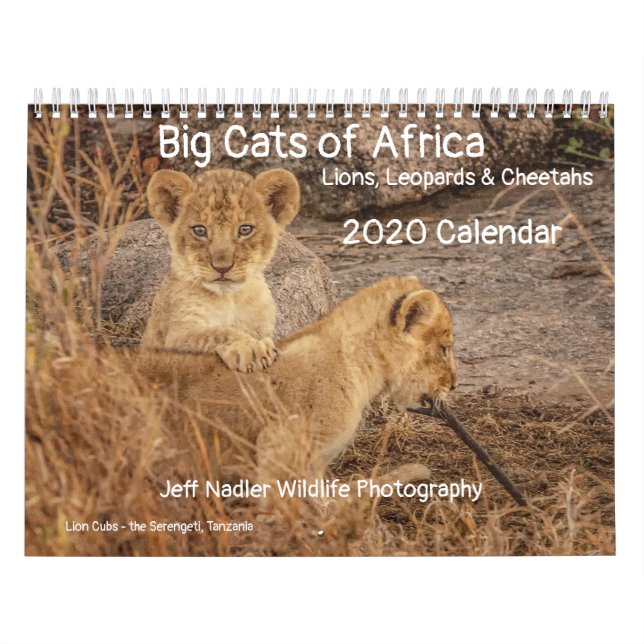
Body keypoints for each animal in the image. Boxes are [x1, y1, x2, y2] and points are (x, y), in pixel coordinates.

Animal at [142, 167, 300, 373]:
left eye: (245, 229)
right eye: (200, 230)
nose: (222, 267)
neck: (231, 299)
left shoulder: (263, 327)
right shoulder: (176, 336)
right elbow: (217, 333)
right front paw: (251, 348)